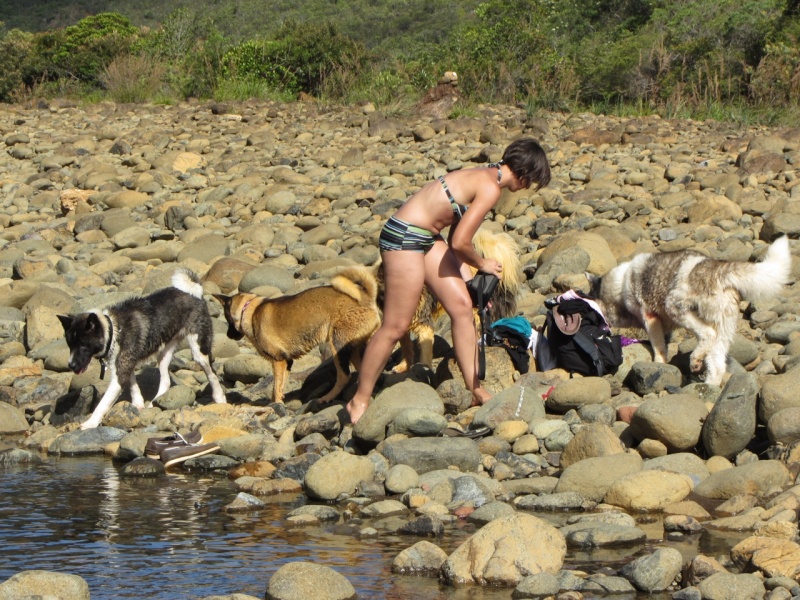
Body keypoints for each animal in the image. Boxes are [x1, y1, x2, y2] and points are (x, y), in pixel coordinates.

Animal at [214, 266, 380, 404]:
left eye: (227, 318)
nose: (228, 336)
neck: (250, 310)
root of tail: (366, 299)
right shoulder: (287, 362)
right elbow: (279, 387)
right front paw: (278, 403)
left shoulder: (278, 360)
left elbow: (276, 387)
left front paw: (277, 405)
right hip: (354, 349)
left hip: (337, 347)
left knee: (344, 376)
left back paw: (327, 398)